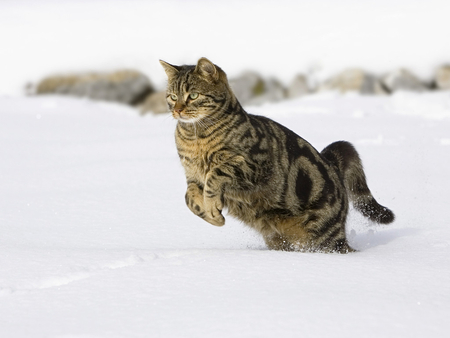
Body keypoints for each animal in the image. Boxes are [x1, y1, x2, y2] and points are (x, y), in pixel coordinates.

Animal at [159, 57, 394, 254]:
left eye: (193, 96)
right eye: (172, 96)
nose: (177, 110)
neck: (195, 138)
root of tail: (333, 164)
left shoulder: (253, 165)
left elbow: (215, 175)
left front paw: (212, 207)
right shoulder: (192, 175)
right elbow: (189, 197)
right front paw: (211, 216)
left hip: (324, 239)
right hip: (279, 239)